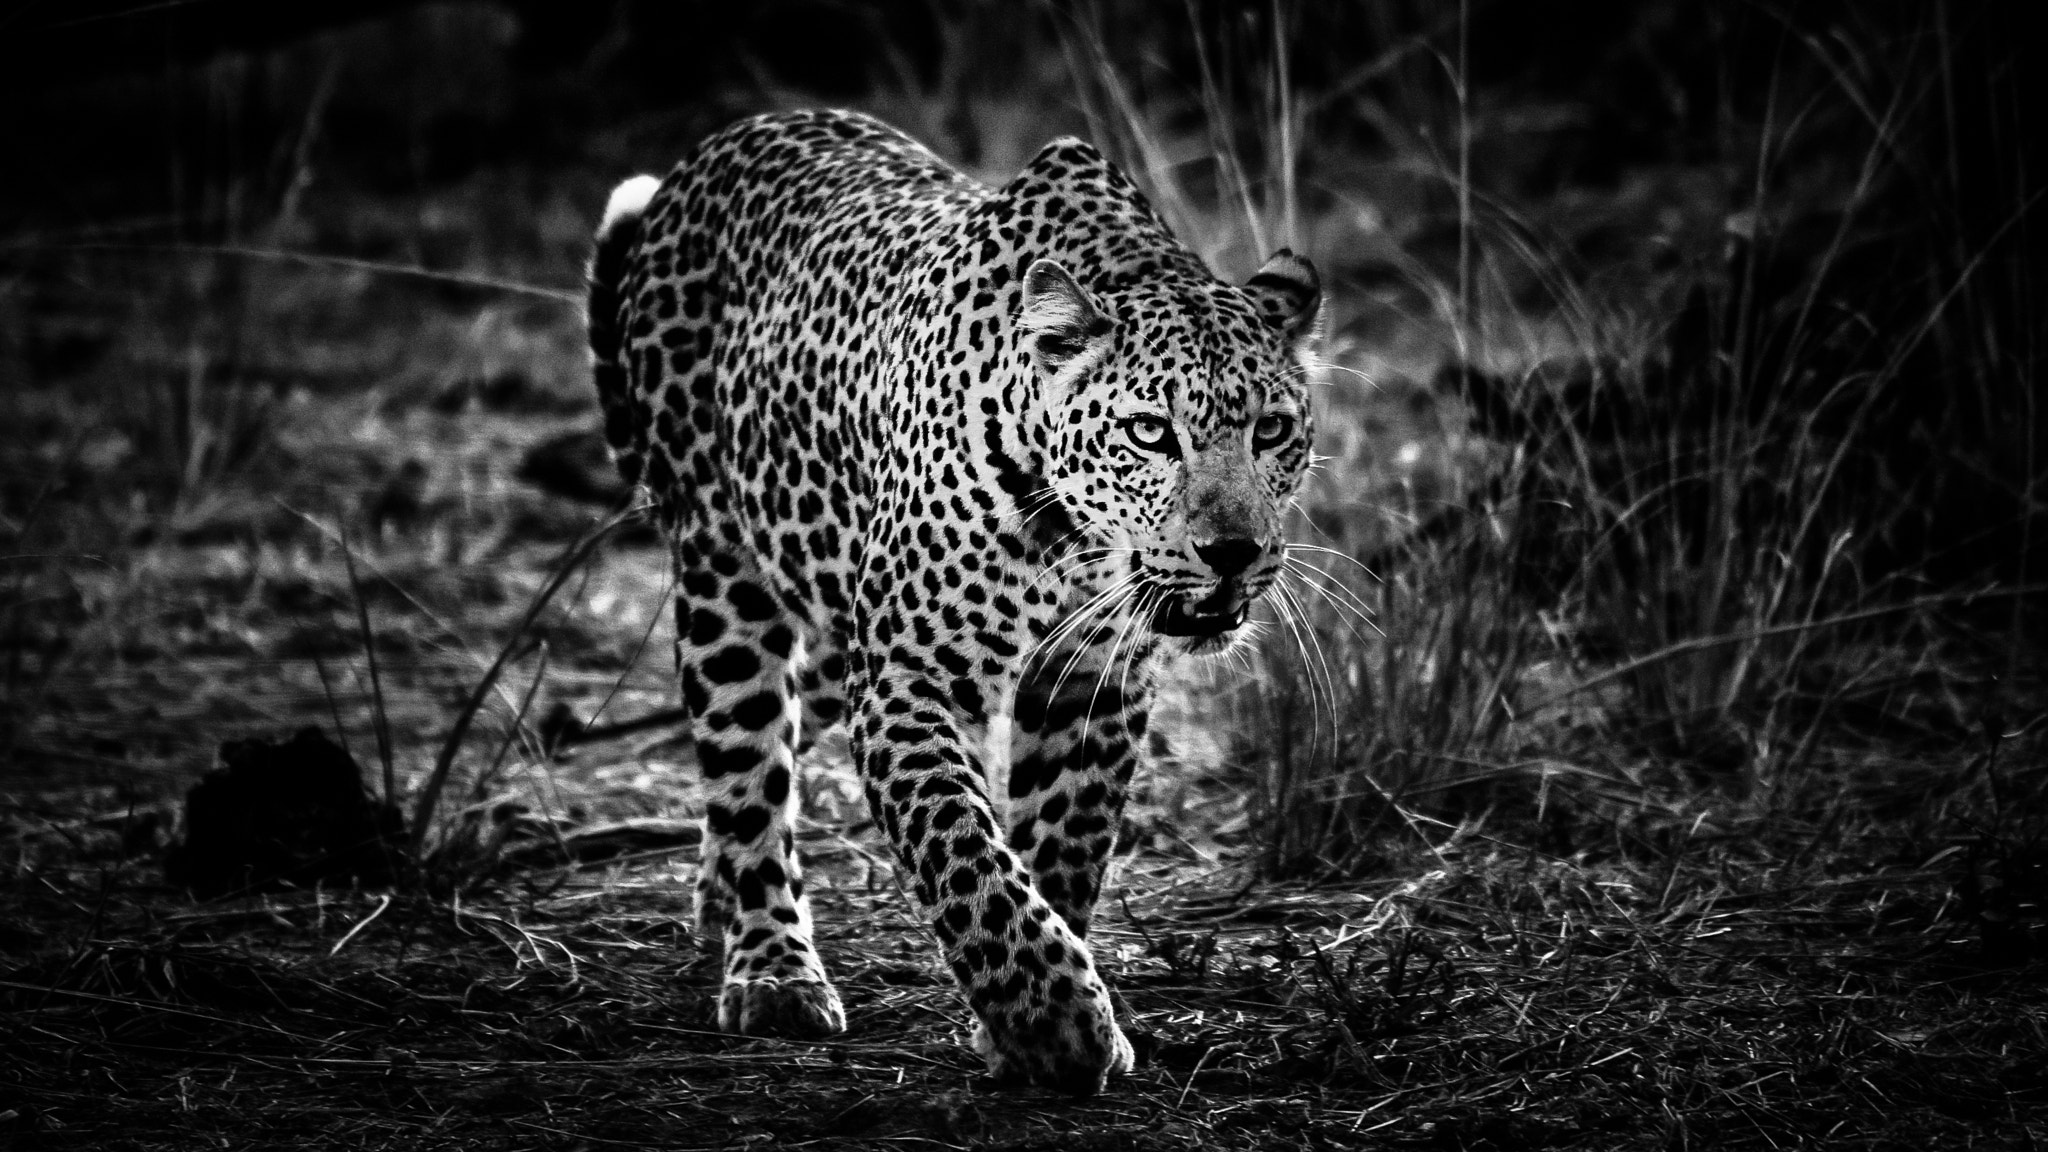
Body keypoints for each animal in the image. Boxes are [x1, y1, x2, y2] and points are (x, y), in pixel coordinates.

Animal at [586, 108, 1321, 1094]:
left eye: (1272, 430)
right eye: (1149, 432)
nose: (1233, 553)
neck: (1077, 543)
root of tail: (724, 141)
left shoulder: (1093, 686)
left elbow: (1063, 847)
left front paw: (1026, 1013)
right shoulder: (912, 678)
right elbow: (963, 848)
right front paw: (1053, 1022)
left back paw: (716, 903)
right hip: (723, 572)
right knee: (746, 775)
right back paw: (772, 968)